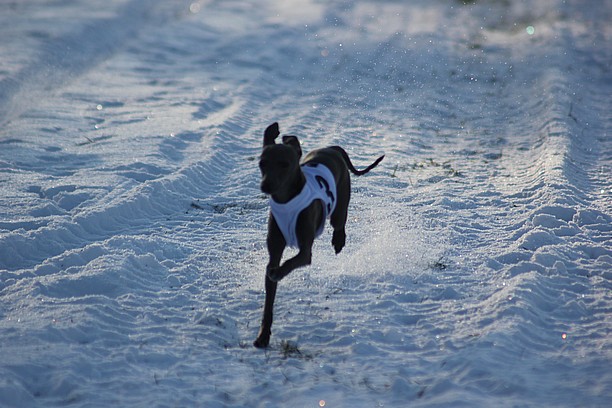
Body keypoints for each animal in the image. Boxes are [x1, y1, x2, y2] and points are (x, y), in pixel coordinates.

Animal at [253, 121, 382, 348]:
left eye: (284, 164)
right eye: (262, 163)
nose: (266, 185)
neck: (287, 201)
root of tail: (332, 148)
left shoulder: (305, 252)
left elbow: (289, 263)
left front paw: (278, 272)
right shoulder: (274, 252)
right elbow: (269, 298)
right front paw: (263, 336)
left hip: (340, 205)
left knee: (340, 223)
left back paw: (339, 241)